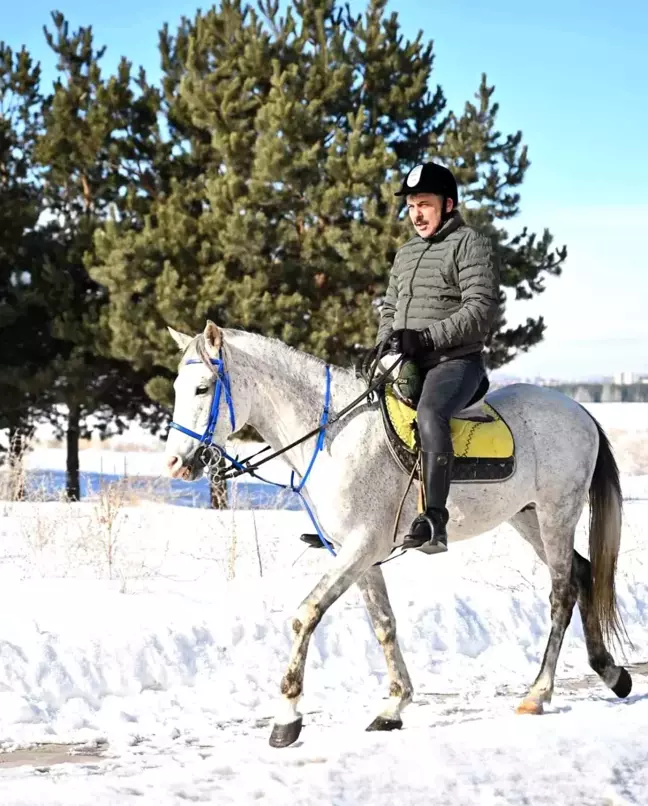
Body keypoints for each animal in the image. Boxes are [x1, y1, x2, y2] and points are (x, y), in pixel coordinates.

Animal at [165, 322, 632, 752]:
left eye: (203, 388)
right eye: (176, 388)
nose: (174, 463)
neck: (334, 436)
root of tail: (580, 411)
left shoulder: (359, 547)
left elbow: (307, 614)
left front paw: (287, 718)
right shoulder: (360, 555)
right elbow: (384, 624)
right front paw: (394, 706)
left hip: (557, 515)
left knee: (561, 593)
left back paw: (538, 693)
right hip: (527, 518)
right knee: (583, 572)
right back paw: (611, 673)